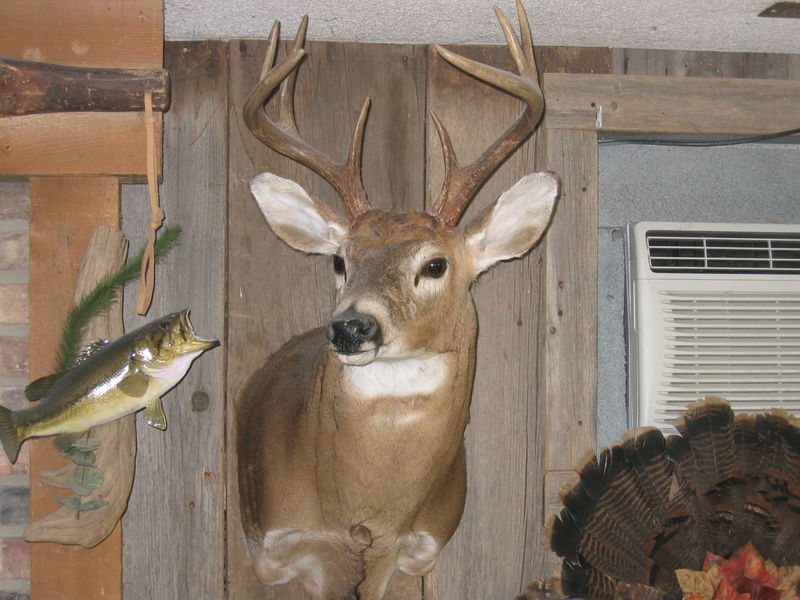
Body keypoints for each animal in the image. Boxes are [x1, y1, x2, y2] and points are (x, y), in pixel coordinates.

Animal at [236, 2, 559, 599]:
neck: (365, 510)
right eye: (339, 261)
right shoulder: (298, 548)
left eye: (435, 265)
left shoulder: (403, 550)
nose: (350, 327)